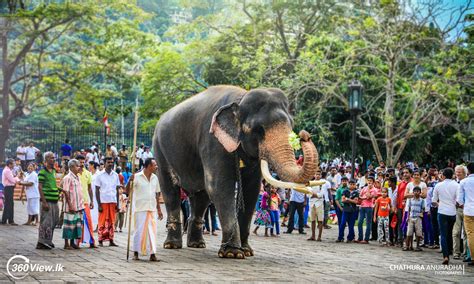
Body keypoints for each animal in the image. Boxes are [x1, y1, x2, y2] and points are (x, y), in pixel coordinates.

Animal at [154, 84, 320, 258]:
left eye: (291, 126)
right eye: (258, 130)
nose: (304, 135)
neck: (240, 99)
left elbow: (251, 190)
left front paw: (246, 251)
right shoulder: (213, 141)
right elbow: (219, 186)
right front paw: (232, 253)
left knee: (201, 197)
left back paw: (197, 244)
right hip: (160, 150)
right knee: (170, 191)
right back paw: (172, 245)